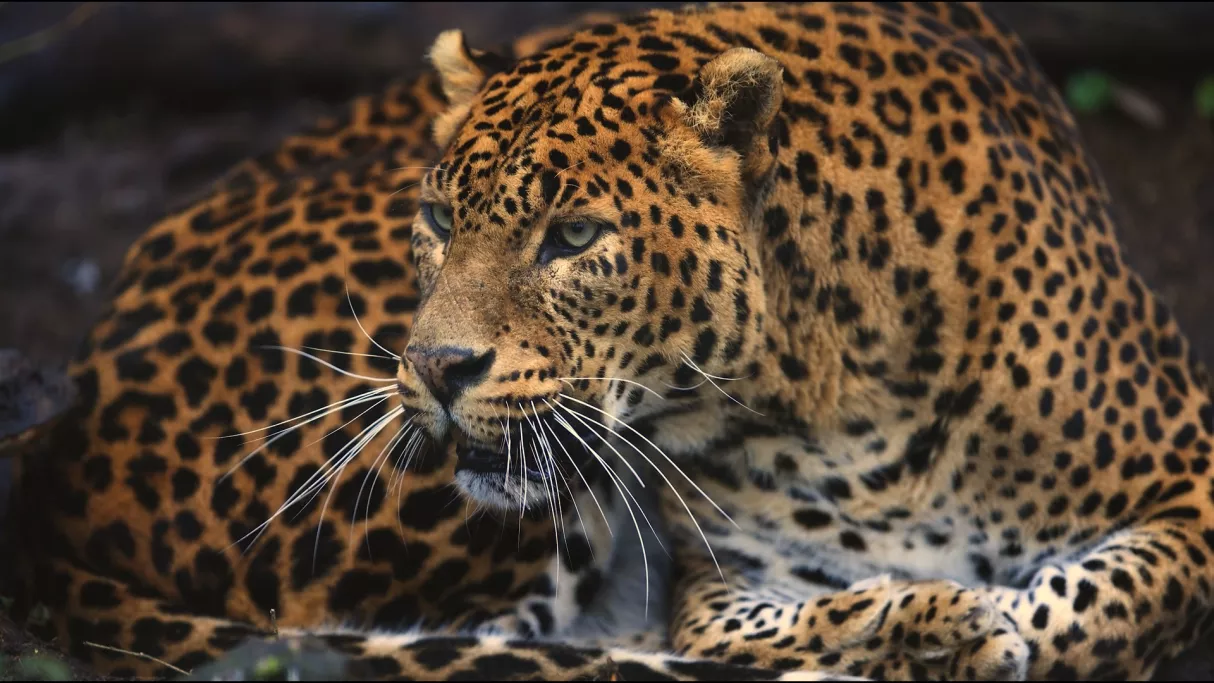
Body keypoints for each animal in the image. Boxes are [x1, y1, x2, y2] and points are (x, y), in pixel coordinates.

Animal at [7, 2, 1214, 682]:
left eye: (575, 236)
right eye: (437, 216)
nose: (433, 369)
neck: (827, 387)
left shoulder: (1188, 482)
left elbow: (1108, 604)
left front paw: (967, 622)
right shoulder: (729, 576)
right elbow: (746, 635)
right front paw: (936, 627)